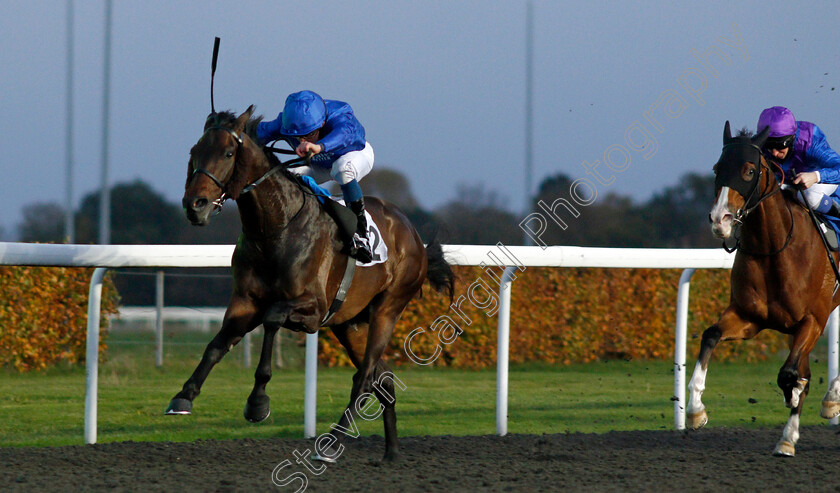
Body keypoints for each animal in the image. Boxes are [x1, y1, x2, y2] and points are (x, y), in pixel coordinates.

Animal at [165, 104, 452, 462]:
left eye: (228, 153)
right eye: (194, 152)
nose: (195, 206)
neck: (275, 229)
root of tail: (413, 235)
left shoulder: (313, 309)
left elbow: (273, 317)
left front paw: (258, 402)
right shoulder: (245, 302)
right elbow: (216, 345)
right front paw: (183, 396)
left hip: (388, 309)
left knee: (364, 378)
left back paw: (331, 443)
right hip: (349, 324)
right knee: (383, 380)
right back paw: (391, 452)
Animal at [688, 121, 840, 456]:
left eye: (748, 170)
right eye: (717, 167)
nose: (720, 220)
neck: (775, 249)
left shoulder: (814, 320)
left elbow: (790, 374)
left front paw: (795, 398)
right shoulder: (750, 318)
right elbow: (710, 335)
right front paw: (695, 410)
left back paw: (830, 399)